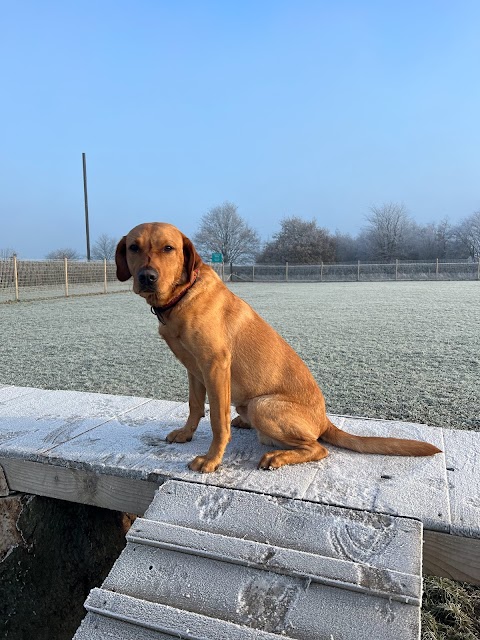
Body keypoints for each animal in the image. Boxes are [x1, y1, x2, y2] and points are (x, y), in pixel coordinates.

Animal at [114, 222, 440, 472]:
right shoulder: (194, 370)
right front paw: (186, 434)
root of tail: (325, 421)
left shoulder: (215, 367)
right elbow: (195, 406)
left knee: (319, 448)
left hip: (263, 404)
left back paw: (277, 456)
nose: (147, 277)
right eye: (134, 247)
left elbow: (218, 422)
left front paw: (211, 460)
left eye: (168, 248)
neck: (181, 298)